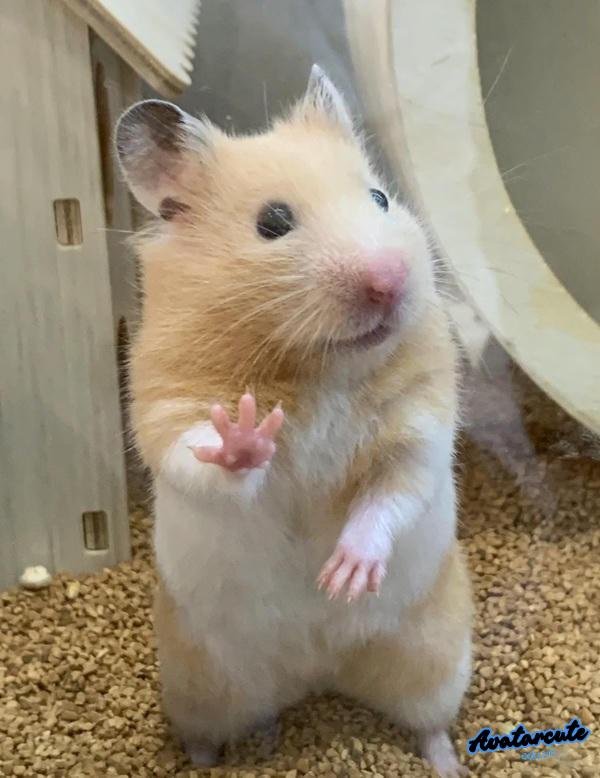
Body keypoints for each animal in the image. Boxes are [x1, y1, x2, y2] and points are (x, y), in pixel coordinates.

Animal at [116, 65, 472, 778]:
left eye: (380, 198)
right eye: (273, 222)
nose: (391, 279)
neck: (320, 368)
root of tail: (319, 673)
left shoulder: (422, 428)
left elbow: (393, 493)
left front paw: (343, 580)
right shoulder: (168, 408)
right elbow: (204, 458)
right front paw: (248, 437)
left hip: (436, 656)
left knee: (429, 724)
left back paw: (448, 761)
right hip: (198, 683)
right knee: (208, 731)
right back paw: (206, 758)